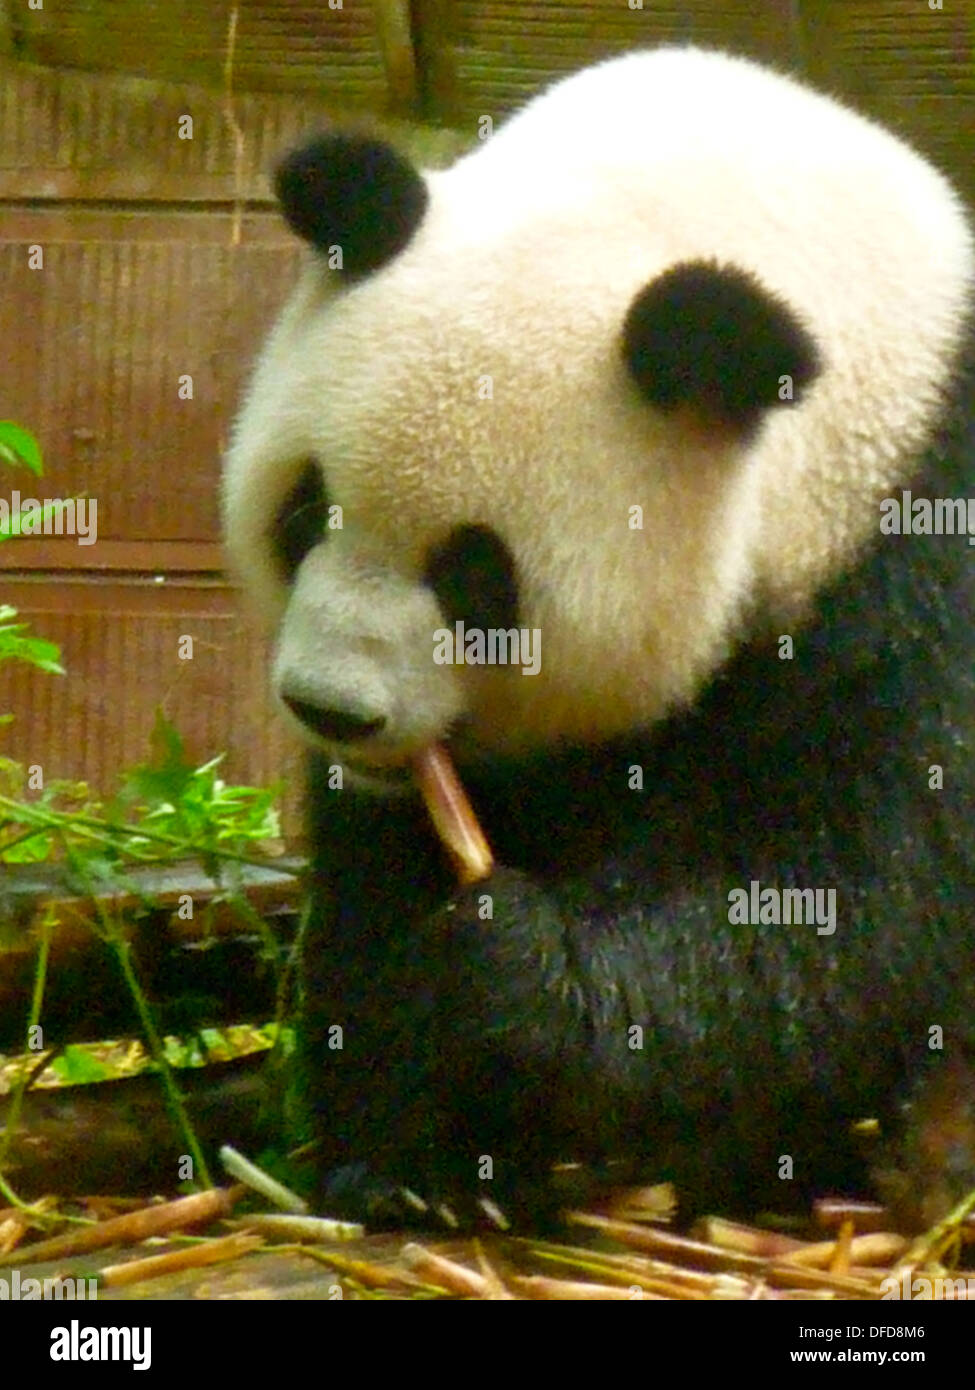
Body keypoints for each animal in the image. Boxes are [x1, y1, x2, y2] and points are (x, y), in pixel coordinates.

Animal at [224, 46, 975, 1229]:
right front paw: (414, 1162)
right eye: (306, 512)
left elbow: (846, 896)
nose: (329, 706)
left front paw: (514, 967)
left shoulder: (916, 559)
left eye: (476, 577)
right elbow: (377, 889)